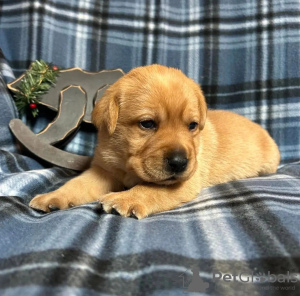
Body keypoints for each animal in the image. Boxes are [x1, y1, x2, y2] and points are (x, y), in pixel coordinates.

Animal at [29, 64, 280, 217]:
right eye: (147, 124)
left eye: (192, 126)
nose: (179, 162)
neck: (127, 163)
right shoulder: (103, 170)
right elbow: (78, 184)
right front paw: (54, 196)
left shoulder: (186, 180)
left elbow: (149, 188)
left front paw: (126, 199)